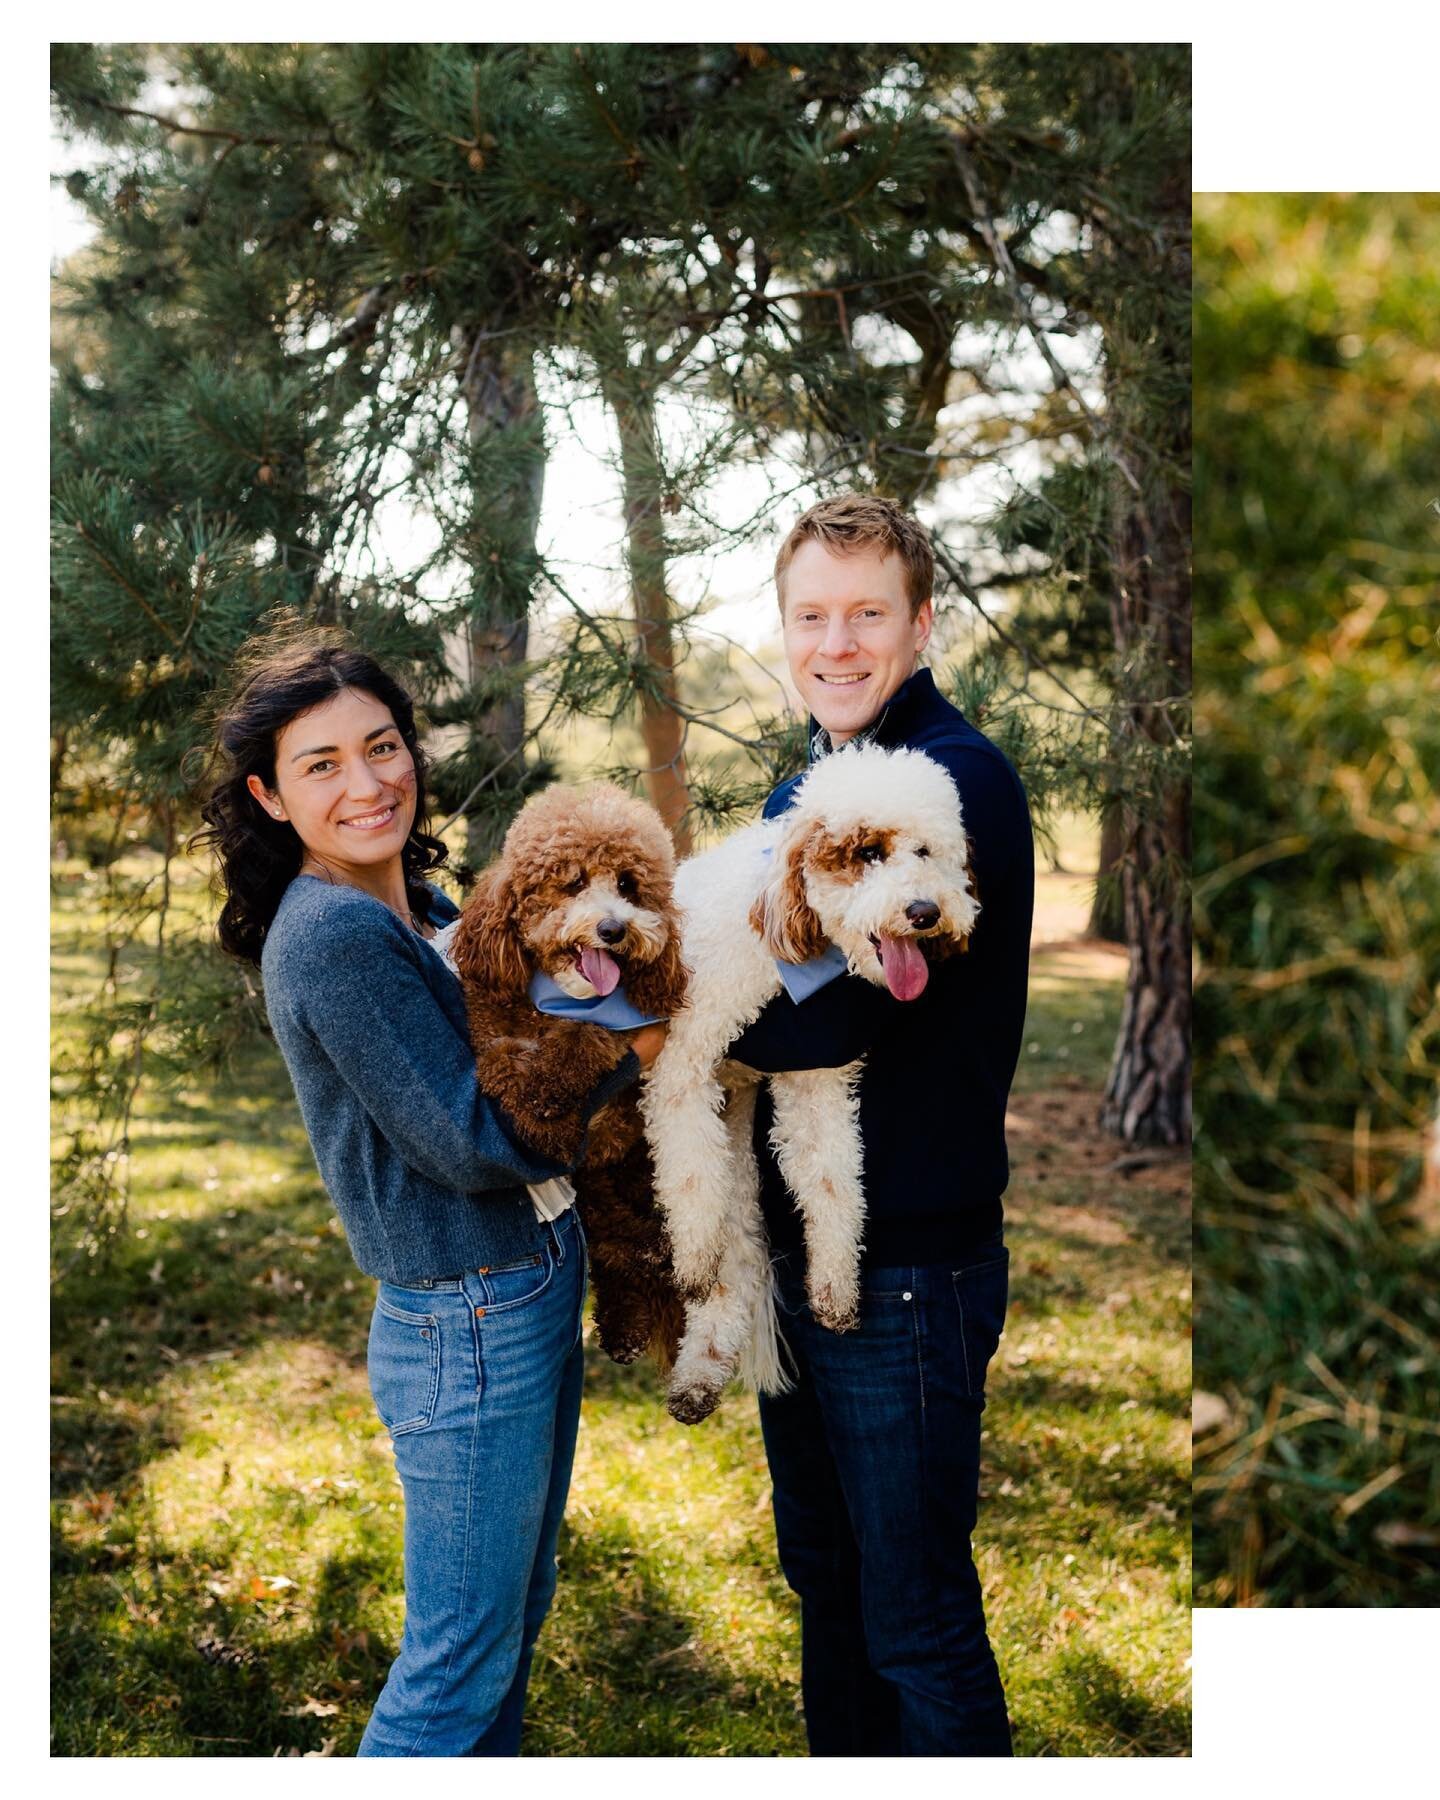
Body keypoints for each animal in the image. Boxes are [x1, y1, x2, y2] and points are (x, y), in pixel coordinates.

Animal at [455, 784, 691, 1360]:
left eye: (628, 885)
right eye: (573, 882)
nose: (613, 929)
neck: (557, 999)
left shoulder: (618, 1041)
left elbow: (584, 1038)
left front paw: (550, 1097)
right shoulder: (488, 1025)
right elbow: (504, 1059)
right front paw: (545, 1117)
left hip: (636, 1168)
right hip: (600, 1191)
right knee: (611, 1248)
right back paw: (625, 1321)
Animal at [648, 745, 986, 1418]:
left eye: (927, 852)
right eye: (868, 852)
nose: (926, 913)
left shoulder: (813, 1081)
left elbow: (832, 1182)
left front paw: (835, 1285)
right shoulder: (682, 1064)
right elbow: (689, 1173)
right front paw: (691, 1256)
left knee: (741, 1264)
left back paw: (701, 1371)